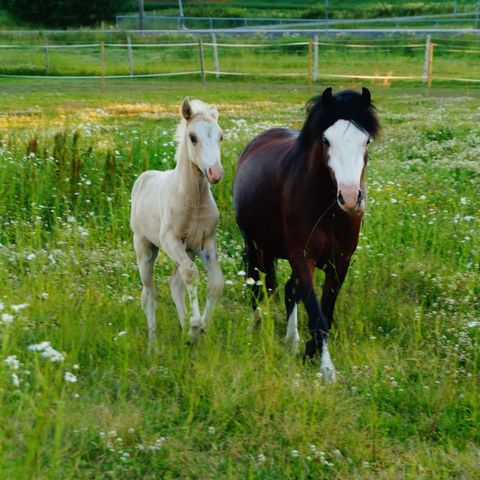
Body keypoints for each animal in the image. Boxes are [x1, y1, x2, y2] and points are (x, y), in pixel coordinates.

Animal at [234, 87, 380, 382]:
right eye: (326, 141)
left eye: (366, 141)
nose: (350, 198)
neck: (329, 210)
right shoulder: (302, 256)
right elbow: (316, 313)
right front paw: (326, 369)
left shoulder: (340, 262)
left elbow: (325, 310)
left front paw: (310, 353)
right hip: (255, 245)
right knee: (256, 285)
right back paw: (256, 325)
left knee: (290, 290)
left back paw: (292, 341)